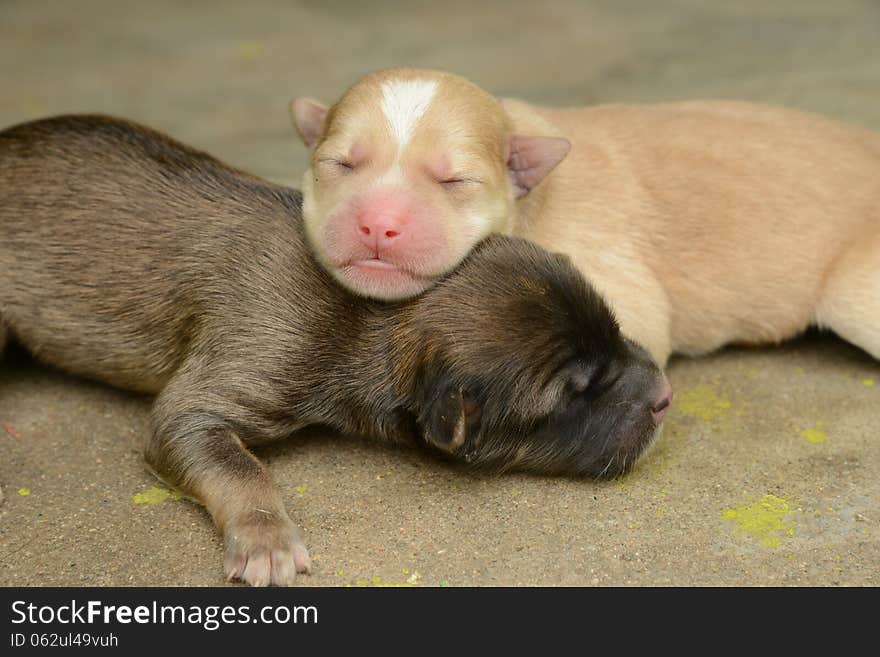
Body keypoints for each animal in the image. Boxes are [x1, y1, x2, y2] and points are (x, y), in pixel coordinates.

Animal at [0, 113, 672, 584]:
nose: (667, 395)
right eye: (574, 392)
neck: (371, 315)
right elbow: (228, 458)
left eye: (614, 328)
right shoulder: (242, 367)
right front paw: (266, 538)